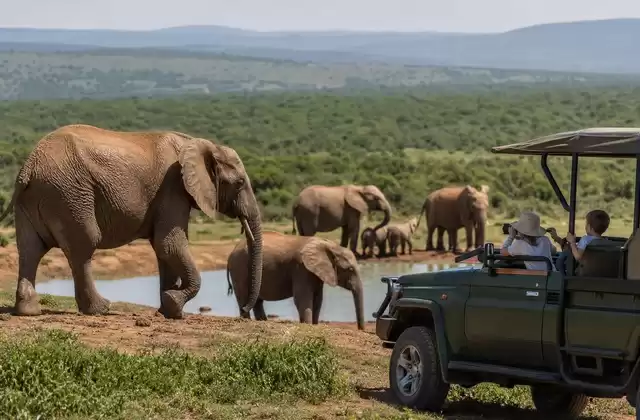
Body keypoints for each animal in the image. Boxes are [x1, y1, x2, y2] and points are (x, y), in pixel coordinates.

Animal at [0, 124, 263, 319]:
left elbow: (163, 249)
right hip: (70, 193)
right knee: (83, 245)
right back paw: (100, 309)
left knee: (30, 249)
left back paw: (28, 311)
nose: (244, 310)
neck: (200, 144)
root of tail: (29, 166)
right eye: (240, 182)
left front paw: (167, 311)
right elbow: (169, 243)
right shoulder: (173, 188)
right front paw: (174, 305)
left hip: (37, 197)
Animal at [226, 231, 365, 330]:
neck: (330, 245)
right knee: (244, 297)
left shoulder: (315, 272)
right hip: (239, 267)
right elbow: (302, 298)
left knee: (256, 301)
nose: (360, 329)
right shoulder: (301, 268)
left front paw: (314, 326)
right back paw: (246, 320)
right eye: (350, 269)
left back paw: (262, 321)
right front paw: (308, 325)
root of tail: (232, 251)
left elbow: (318, 299)